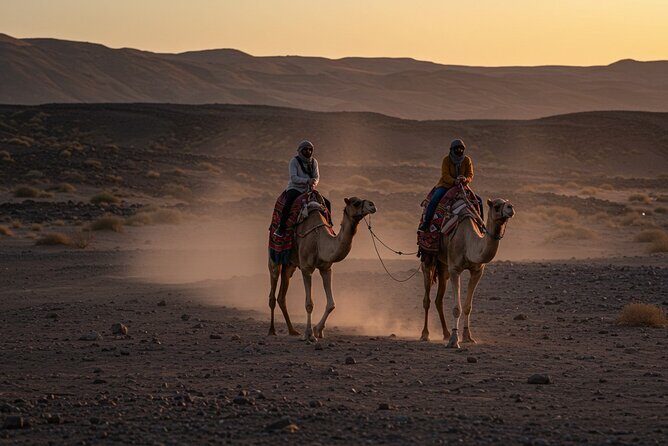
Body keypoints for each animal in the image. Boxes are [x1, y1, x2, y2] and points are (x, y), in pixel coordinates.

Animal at [268, 196, 376, 342]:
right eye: (356, 203)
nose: (372, 205)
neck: (319, 241)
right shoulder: (306, 268)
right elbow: (309, 304)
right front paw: (309, 334)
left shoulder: (326, 269)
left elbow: (331, 304)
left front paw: (318, 330)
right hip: (274, 257)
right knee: (273, 293)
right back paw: (272, 331)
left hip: (290, 264)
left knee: (281, 296)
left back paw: (292, 331)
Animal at [420, 197, 515, 348]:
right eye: (496, 206)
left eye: (508, 202)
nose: (510, 208)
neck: (468, 244)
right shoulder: (455, 269)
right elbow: (456, 308)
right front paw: (454, 340)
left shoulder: (477, 271)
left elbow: (467, 307)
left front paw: (467, 337)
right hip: (428, 260)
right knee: (427, 299)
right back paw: (425, 334)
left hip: (443, 266)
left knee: (438, 299)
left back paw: (445, 333)